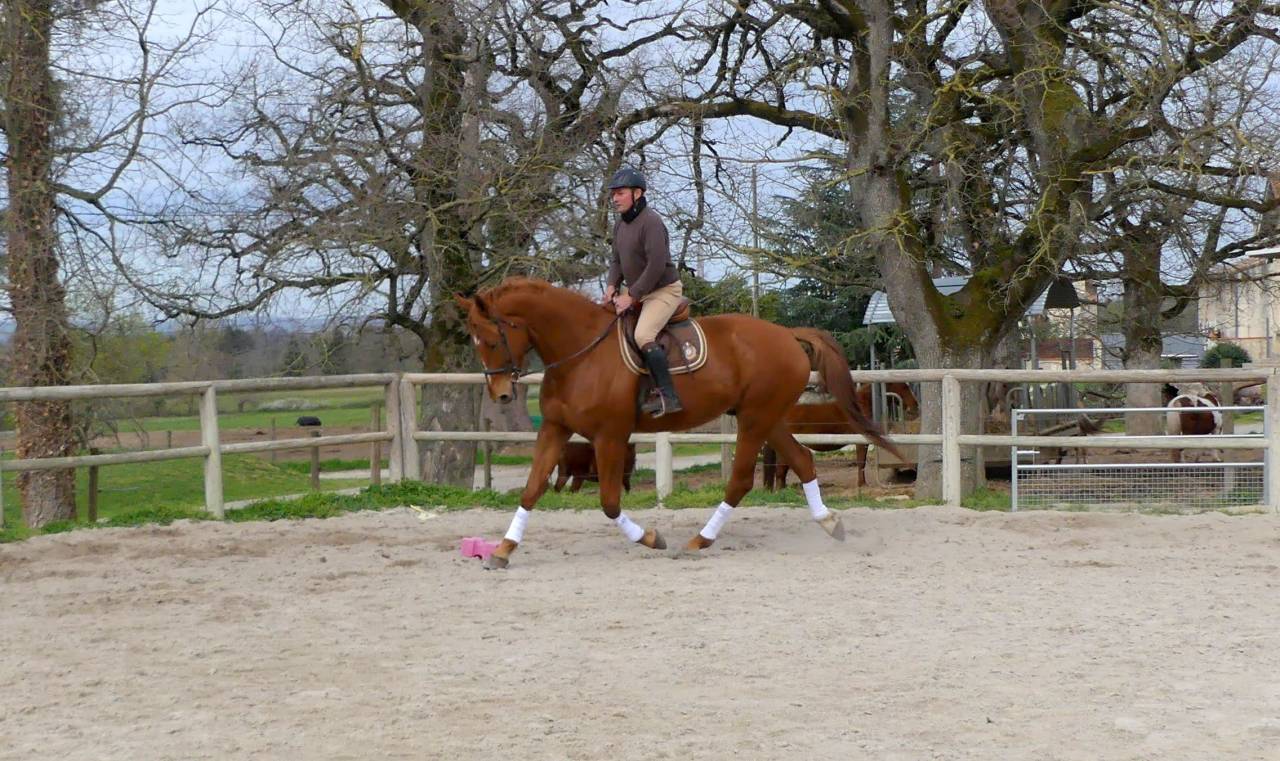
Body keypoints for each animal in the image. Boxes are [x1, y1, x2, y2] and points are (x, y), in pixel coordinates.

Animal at [454, 277, 902, 569]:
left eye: (491, 339)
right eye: (474, 341)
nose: (501, 395)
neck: (581, 354)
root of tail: (785, 334)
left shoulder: (610, 436)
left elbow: (609, 501)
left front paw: (651, 539)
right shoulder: (555, 429)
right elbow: (531, 490)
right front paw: (502, 551)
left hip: (756, 420)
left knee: (740, 481)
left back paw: (700, 540)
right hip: (767, 418)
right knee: (802, 461)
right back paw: (830, 523)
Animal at [762, 382, 919, 490]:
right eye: (904, 387)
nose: (915, 407)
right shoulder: (861, 441)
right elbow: (861, 462)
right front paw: (862, 484)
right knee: (782, 467)